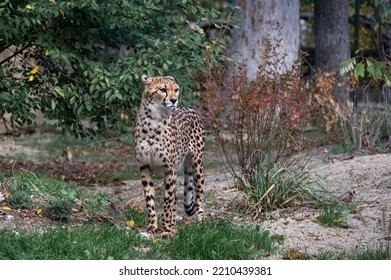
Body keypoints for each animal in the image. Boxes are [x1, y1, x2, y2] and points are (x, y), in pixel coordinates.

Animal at [135, 75, 207, 238]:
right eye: (163, 89)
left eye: (176, 89)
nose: (174, 100)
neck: (154, 119)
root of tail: (189, 108)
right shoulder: (144, 167)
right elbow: (150, 201)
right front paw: (152, 228)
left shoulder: (169, 168)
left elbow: (167, 202)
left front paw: (166, 230)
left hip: (197, 164)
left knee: (199, 196)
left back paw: (200, 222)